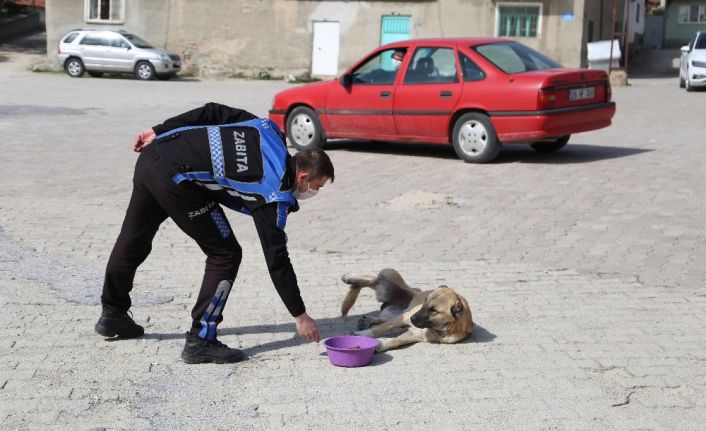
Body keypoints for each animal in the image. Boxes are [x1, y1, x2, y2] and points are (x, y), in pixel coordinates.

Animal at [340, 268, 472, 352]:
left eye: (433, 310)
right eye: (425, 301)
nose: (412, 318)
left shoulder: (414, 334)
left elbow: (395, 341)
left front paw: (381, 345)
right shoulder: (403, 318)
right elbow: (379, 329)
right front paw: (363, 334)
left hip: (392, 311)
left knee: (380, 317)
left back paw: (366, 321)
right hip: (390, 274)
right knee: (372, 280)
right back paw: (351, 278)